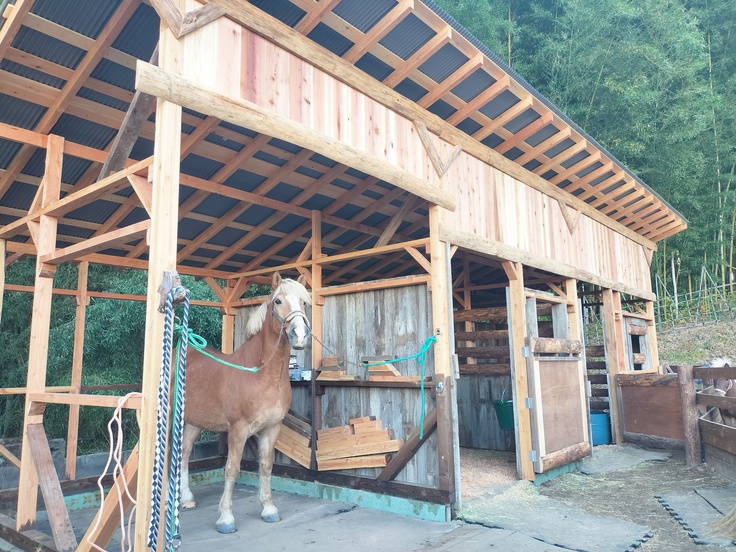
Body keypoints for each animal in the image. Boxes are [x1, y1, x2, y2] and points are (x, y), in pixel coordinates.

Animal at [179, 272, 311, 534]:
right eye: (278, 301)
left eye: (303, 302)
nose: (300, 335)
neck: (260, 373)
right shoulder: (238, 430)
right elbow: (231, 469)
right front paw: (226, 518)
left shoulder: (272, 428)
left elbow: (266, 466)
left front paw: (269, 509)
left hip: (195, 421)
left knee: (185, 451)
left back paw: (186, 498)